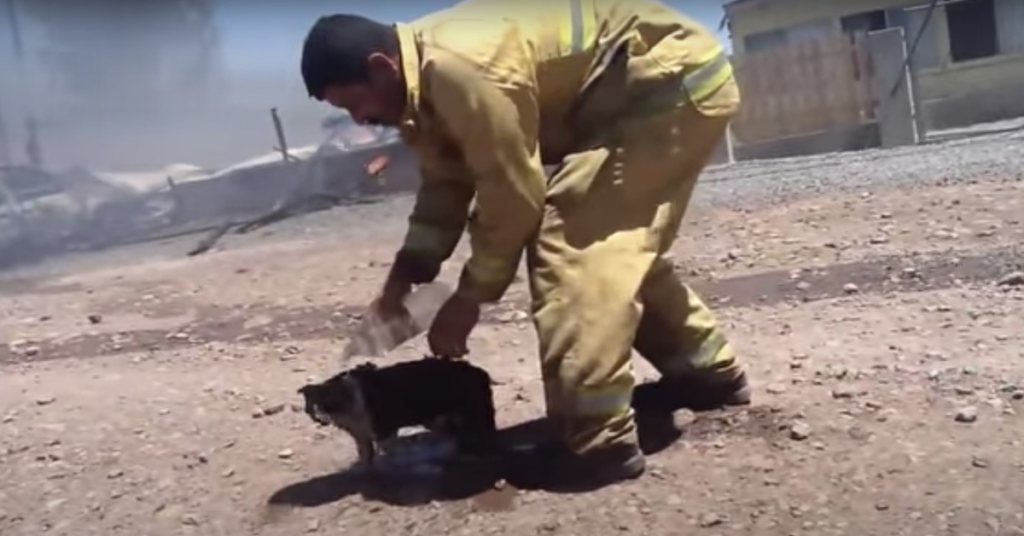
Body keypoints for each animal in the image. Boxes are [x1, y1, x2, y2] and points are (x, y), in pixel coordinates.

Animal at [296, 356, 499, 469]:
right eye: (312, 407)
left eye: (321, 405)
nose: (321, 420)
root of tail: (480, 373)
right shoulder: (360, 434)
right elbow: (366, 454)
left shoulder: (383, 428)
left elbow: (385, 450)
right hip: (440, 418)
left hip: (475, 411)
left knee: (481, 432)